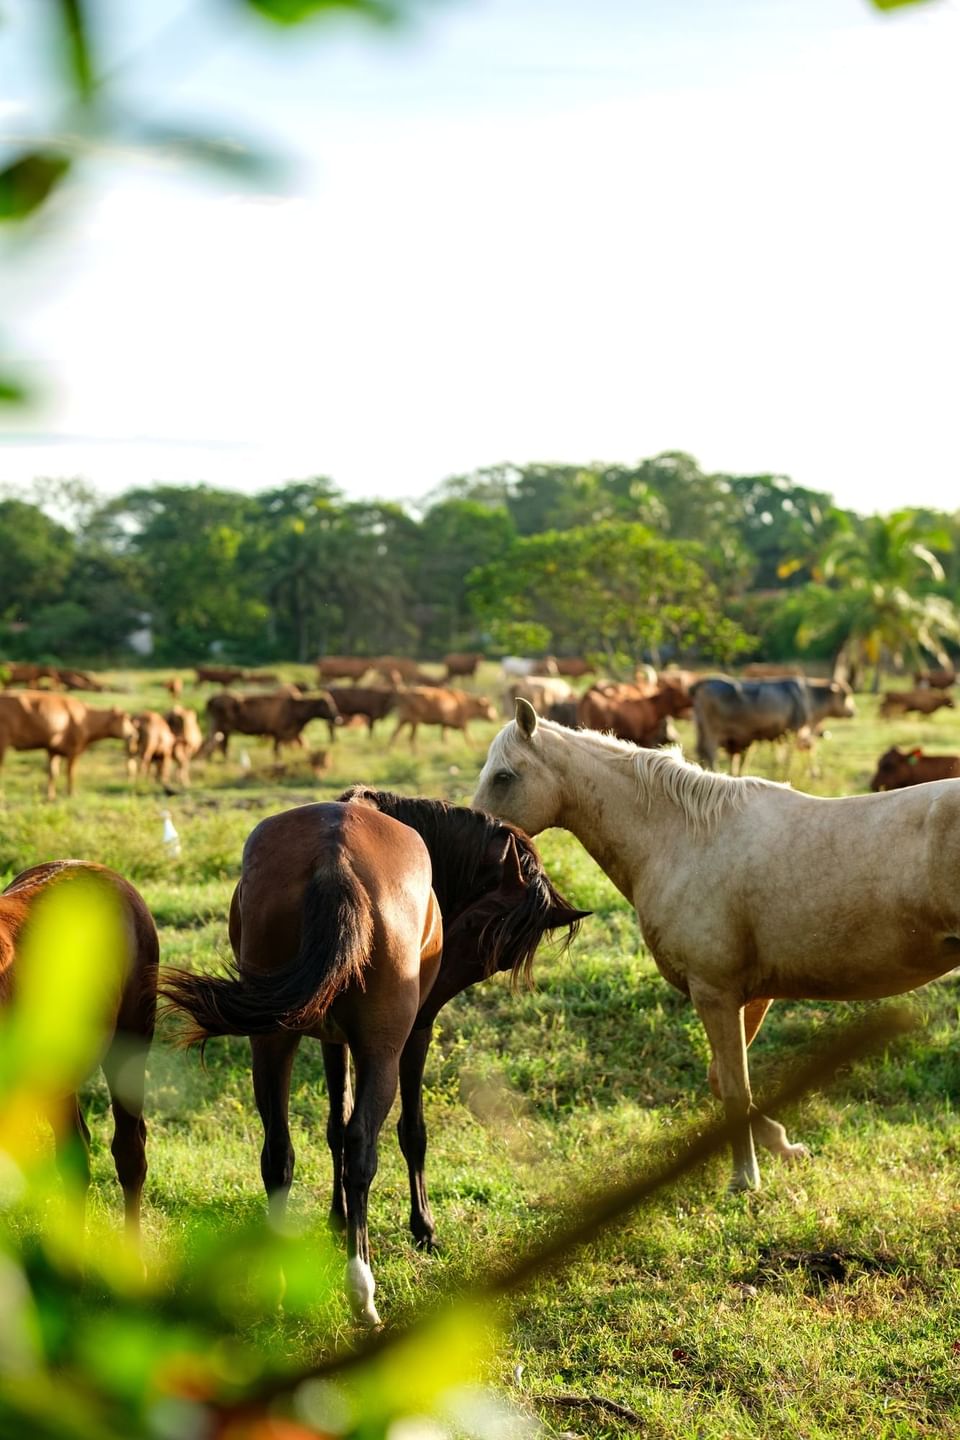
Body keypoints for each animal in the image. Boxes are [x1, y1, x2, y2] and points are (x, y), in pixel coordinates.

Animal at [0, 688, 135, 800]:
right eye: (125, 719)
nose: (134, 734)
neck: (85, 717)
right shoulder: (73, 751)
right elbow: (70, 772)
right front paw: (71, 794)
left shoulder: (52, 750)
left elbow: (53, 773)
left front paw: (51, 796)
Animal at [160, 794, 581, 1319]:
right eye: (485, 932)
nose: (432, 998)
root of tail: (334, 858)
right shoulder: (412, 1037)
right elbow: (410, 1132)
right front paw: (423, 1229)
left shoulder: (330, 1037)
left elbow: (333, 1127)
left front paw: (337, 1220)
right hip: (385, 1046)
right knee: (364, 1148)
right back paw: (361, 1289)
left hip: (273, 1041)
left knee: (278, 1152)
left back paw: (279, 1282)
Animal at [202, 688, 341, 760]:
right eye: (327, 705)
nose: (337, 718)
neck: (294, 707)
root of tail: (212, 699)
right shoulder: (279, 733)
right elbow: (277, 750)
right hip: (224, 728)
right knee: (219, 745)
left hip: (218, 727)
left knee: (214, 743)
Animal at [472, 699, 960, 1192]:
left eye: (504, 776)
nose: (479, 853)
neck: (684, 840)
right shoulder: (754, 995)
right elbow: (721, 1081)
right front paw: (783, 1145)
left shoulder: (716, 994)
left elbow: (734, 1088)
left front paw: (745, 1177)